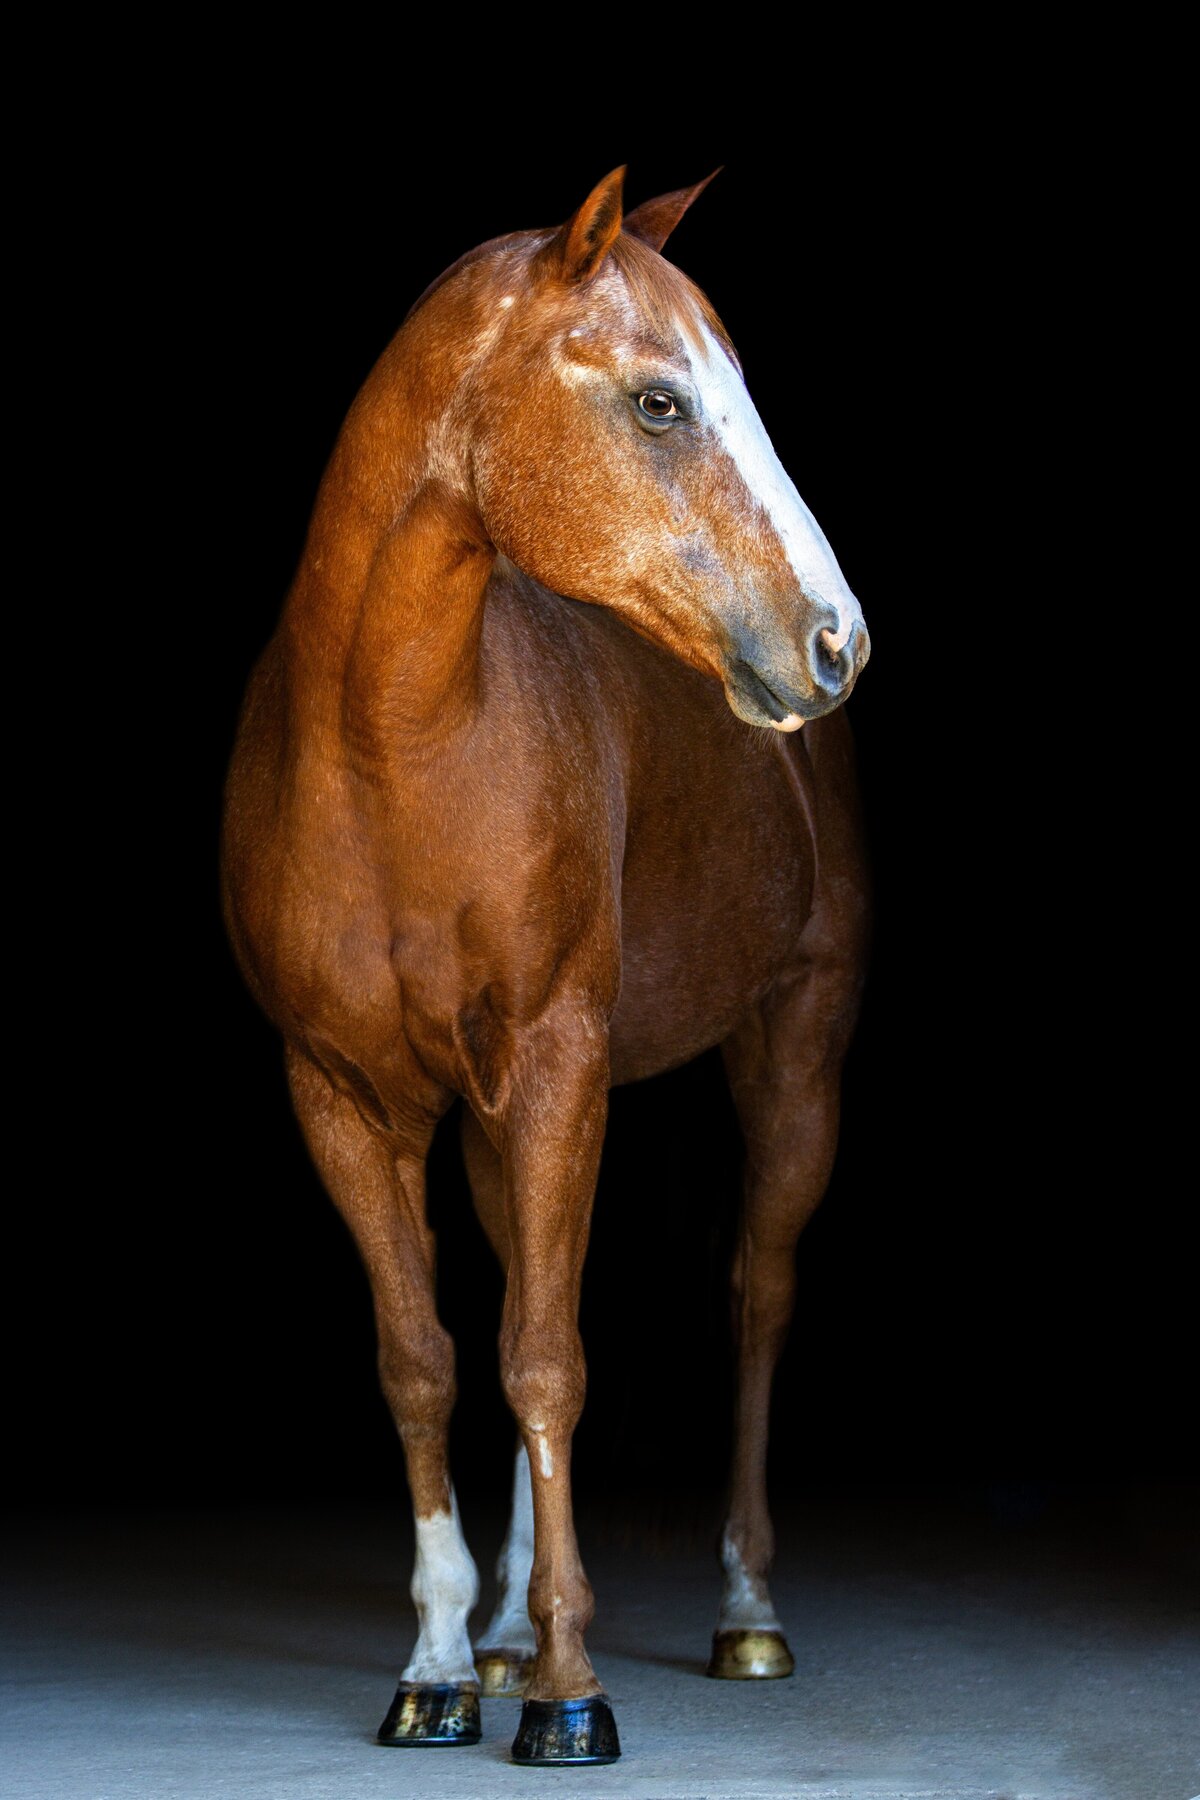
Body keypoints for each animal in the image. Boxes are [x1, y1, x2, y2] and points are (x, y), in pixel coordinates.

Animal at [220, 165, 870, 1767]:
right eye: (659, 401)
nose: (838, 640)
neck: (391, 745)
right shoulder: (342, 1097)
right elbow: (430, 1360)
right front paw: (445, 1660)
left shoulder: (565, 1061)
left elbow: (549, 1362)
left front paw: (576, 1691)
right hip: (489, 1120)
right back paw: (511, 1635)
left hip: (795, 1053)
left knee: (757, 1299)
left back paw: (743, 1611)